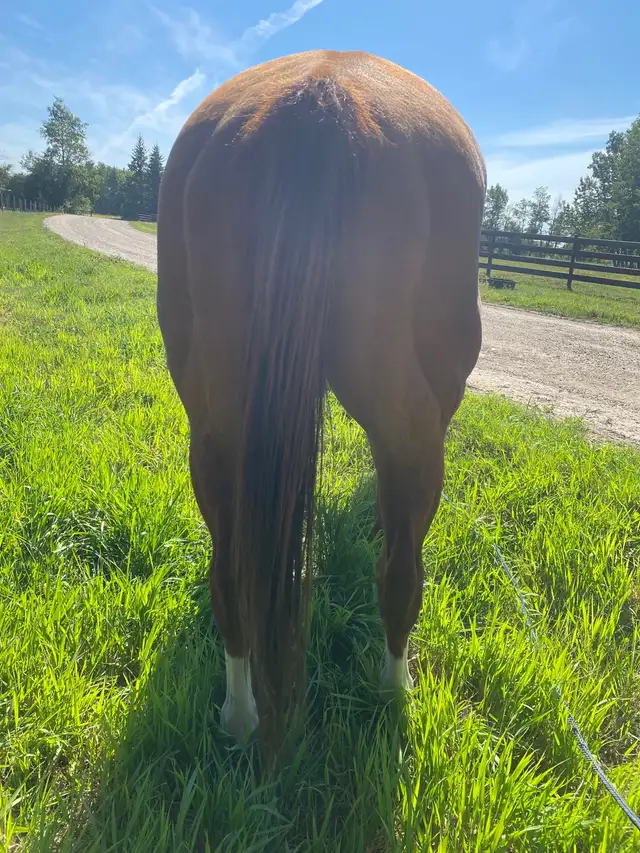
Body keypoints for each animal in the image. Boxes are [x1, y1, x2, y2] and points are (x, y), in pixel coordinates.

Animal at [156, 49, 485, 752]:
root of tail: (320, 96)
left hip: (218, 426)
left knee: (231, 578)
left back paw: (241, 716)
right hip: (409, 424)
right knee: (401, 574)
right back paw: (394, 691)